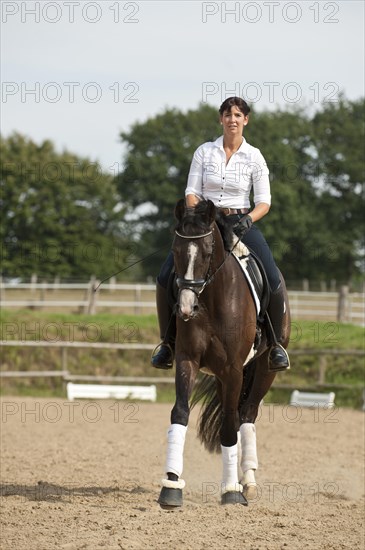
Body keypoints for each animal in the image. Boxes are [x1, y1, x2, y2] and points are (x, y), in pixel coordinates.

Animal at [157, 197, 290, 508]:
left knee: (247, 415)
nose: (185, 308)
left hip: (263, 370)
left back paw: (248, 482)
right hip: (220, 375)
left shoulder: (233, 369)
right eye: (175, 251)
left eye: (208, 252)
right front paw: (171, 485)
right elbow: (180, 412)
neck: (211, 299)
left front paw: (231, 491)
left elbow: (230, 423)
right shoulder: (188, 360)